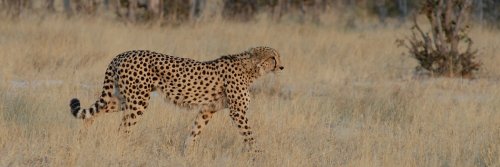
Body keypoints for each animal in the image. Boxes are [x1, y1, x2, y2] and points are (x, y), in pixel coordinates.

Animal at [68, 46, 284, 151]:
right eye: (273, 58)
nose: (282, 67)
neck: (251, 68)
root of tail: (122, 54)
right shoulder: (237, 112)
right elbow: (250, 136)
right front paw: (259, 155)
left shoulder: (207, 110)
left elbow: (194, 133)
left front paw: (185, 153)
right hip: (138, 101)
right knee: (123, 129)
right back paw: (122, 148)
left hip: (123, 99)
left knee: (94, 112)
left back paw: (82, 136)